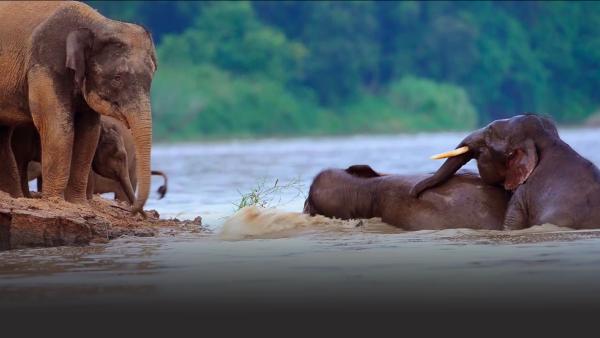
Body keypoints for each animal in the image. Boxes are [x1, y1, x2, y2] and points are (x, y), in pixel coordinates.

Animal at [0, 1, 157, 214]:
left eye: (151, 78)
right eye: (117, 78)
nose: (131, 210)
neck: (97, 24)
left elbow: (88, 133)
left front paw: (78, 204)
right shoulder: (46, 63)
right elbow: (57, 128)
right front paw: (55, 203)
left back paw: (15, 197)